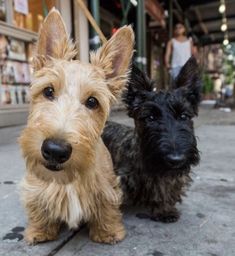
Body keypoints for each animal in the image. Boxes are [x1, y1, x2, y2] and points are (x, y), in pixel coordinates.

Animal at [18, 7, 134, 244]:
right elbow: (37, 205)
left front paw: (107, 232)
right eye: (48, 91)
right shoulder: (35, 187)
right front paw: (40, 230)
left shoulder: (107, 188)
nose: (55, 150)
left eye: (92, 102)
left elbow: (107, 209)